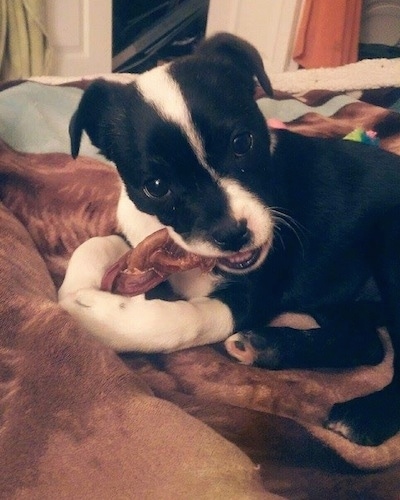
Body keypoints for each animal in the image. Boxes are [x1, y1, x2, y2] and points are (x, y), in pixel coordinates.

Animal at [58, 33, 400, 448]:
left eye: (242, 143)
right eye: (155, 186)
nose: (232, 234)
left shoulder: (253, 293)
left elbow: (187, 318)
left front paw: (100, 318)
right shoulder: (140, 237)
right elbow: (94, 243)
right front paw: (75, 288)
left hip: (390, 249)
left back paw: (366, 416)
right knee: (367, 344)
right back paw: (267, 347)